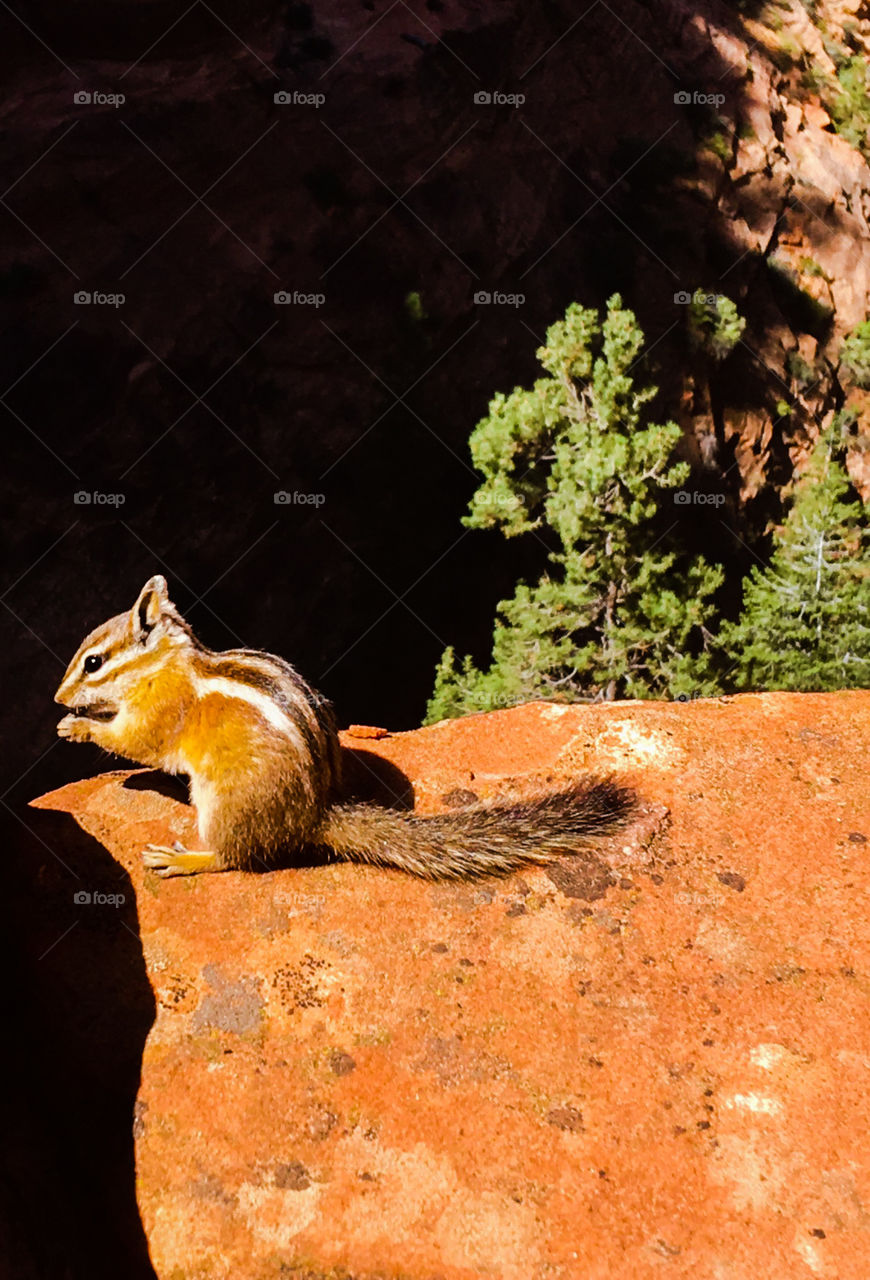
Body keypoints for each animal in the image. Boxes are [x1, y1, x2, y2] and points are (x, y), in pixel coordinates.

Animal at [54, 575, 635, 879]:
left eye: (93, 662)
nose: (57, 696)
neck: (168, 664)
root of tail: (313, 818)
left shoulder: (160, 712)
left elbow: (135, 742)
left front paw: (77, 726)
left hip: (222, 804)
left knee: (235, 859)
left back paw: (184, 859)